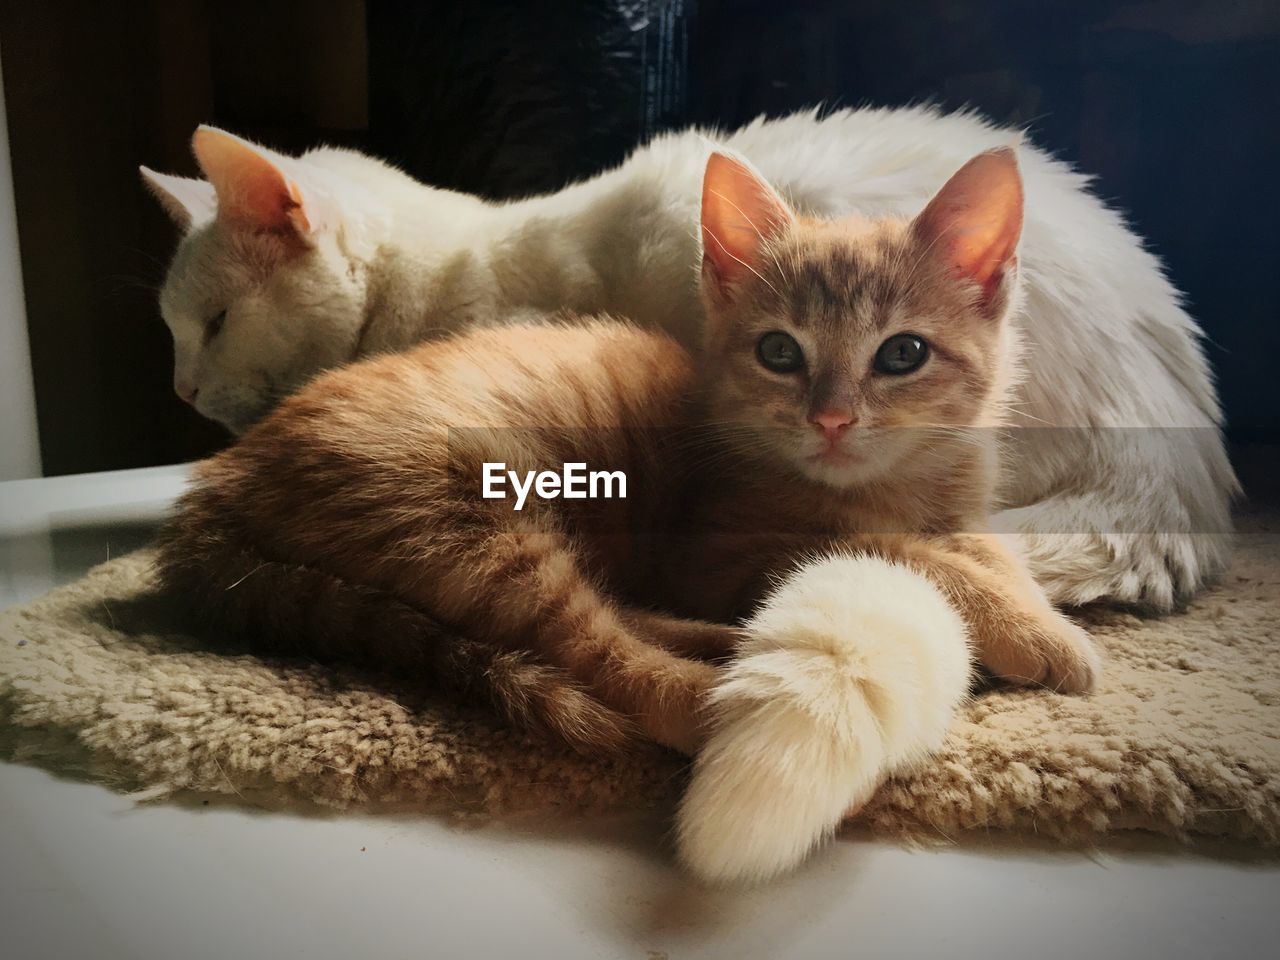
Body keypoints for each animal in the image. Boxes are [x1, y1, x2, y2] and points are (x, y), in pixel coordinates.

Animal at [160, 148, 1100, 880]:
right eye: (779, 351)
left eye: (903, 353)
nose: (831, 419)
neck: (901, 482)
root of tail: (215, 488)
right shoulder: (719, 547)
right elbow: (893, 547)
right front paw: (1033, 633)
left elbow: (990, 551)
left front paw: (1033, 612)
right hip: (471, 518)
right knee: (594, 649)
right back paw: (738, 701)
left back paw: (727, 644)